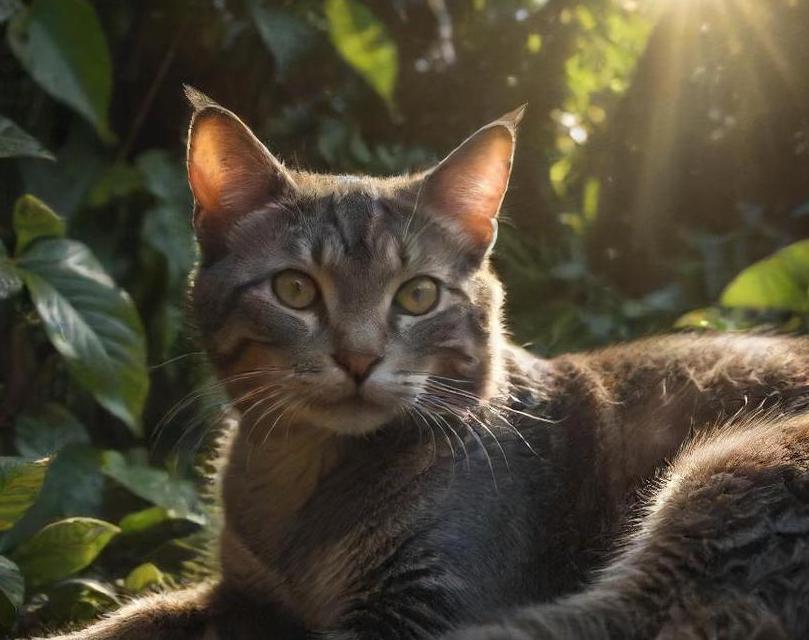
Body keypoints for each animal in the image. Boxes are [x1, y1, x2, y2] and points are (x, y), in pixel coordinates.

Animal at [41, 86, 808, 640]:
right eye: (294, 290)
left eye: (417, 295)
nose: (357, 357)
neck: (302, 482)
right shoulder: (239, 592)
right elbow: (131, 615)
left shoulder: (423, 600)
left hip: (729, 484)